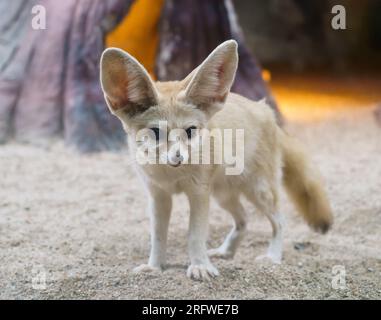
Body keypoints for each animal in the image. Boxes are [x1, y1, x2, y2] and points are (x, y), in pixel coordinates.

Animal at [99, 39, 332, 280]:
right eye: (156, 133)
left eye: (190, 131)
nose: (178, 157)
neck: (172, 175)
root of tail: (264, 110)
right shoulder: (158, 194)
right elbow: (158, 237)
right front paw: (154, 267)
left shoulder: (199, 193)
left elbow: (195, 235)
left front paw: (200, 266)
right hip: (223, 195)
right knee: (244, 220)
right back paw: (225, 252)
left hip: (259, 192)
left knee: (280, 221)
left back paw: (273, 257)